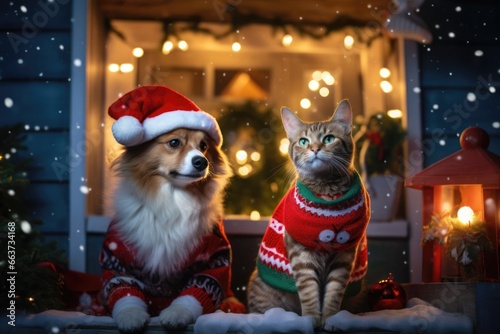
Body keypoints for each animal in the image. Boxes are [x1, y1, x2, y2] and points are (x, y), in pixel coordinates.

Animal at [98, 85, 243, 332]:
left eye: (204, 146)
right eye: (174, 143)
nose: (201, 161)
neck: (173, 198)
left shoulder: (214, 259)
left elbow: (197, 291)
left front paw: (177, 313)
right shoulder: (118, 259)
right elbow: (122, 287)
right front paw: (130, 315)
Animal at [247, 100, 372, 328]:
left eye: (329, 139)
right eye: (303, 141)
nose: (314, 149)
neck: (327, 192)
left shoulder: (344, 255)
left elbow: (334, 292)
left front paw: (331, 318)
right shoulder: (301, 255)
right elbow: (308, 291)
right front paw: (311, 318)